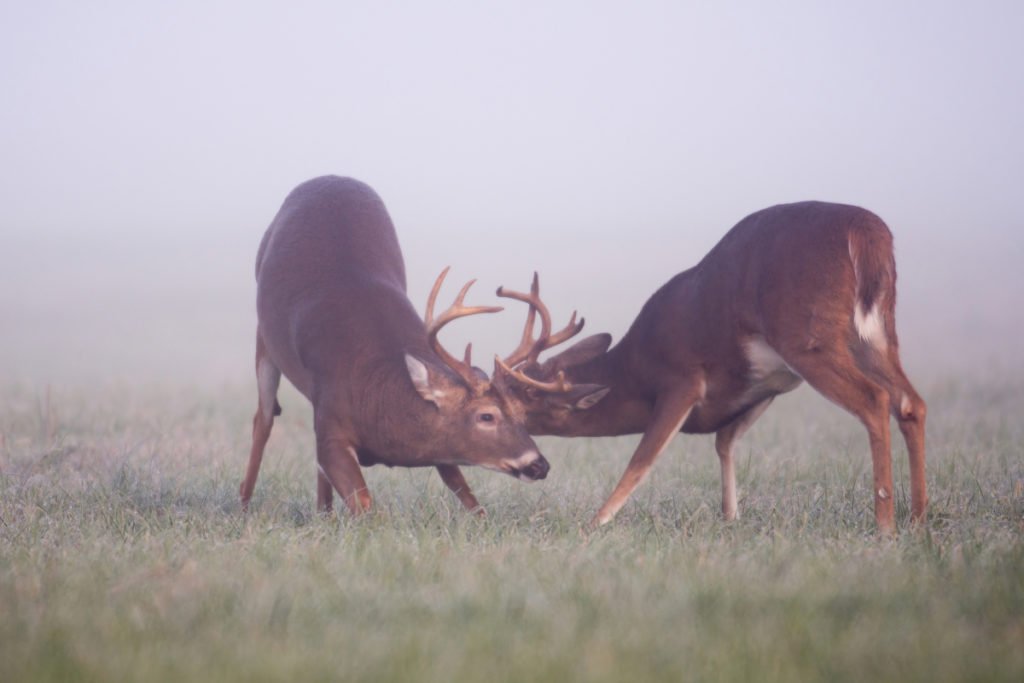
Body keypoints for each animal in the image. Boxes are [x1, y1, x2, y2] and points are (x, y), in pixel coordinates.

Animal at [237, 174, 552, 516]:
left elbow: (465, 493)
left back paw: (324, 512)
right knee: (263, 419)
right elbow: (364, 504)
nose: (539, 465)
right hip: (264, 338)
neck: (379, 393)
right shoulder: (332, 423)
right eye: (487, 416)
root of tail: (330, 176)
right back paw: (244, 504)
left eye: (520, 412)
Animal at [493, 198, 929, 532]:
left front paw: (595, 523)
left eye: (516, 396)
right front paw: (730, 518)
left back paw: (885, 525)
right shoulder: (762, 387)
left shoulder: (681, 379)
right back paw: (917, 518)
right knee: (910, 402)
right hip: (876, 335)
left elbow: (642, 460)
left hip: (811, 341)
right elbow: (725, 444)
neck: (635, 371)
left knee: (875, 400)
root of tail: (867, 233)